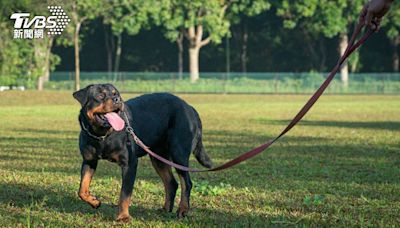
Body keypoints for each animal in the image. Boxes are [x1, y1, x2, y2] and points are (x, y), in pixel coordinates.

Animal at [73, 83, 214, 221]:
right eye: (100, 95)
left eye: (115, 94)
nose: (117, 99)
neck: (102, 136)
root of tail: (190, 107)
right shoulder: (89, 161)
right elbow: (82, 189)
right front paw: (94, 202)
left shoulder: (130, 164)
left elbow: (124, 194)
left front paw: (123, 217)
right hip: (158, 157)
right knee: (171, 183)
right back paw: (165, 209)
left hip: (178, 154)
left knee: (187, 183)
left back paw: (183, 210)